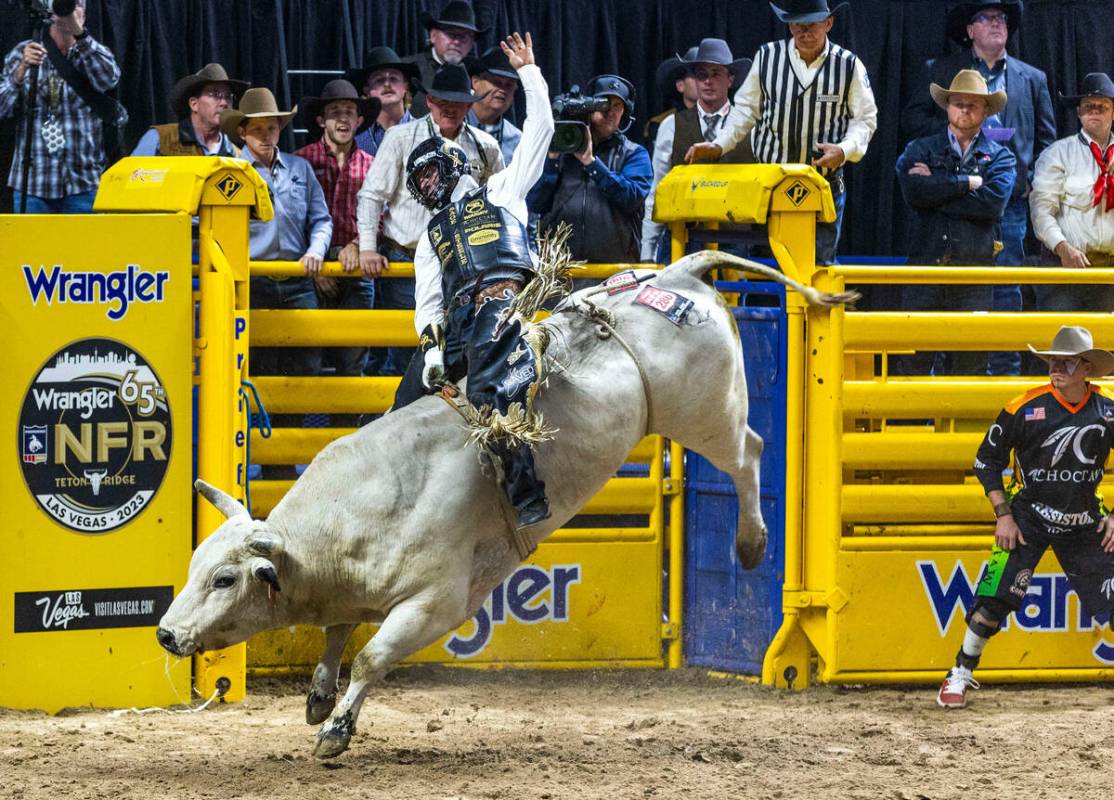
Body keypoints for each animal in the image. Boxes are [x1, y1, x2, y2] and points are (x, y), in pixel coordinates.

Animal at [157, 254, 846, 762]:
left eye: (224, 579)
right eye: (193, 566)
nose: (165, 633)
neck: (362, 513)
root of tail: (677, 273)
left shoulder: (438, 603)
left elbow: (371, 655)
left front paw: (335, 733)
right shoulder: (350, 591)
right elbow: (336, 633)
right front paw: (319, 699)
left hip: (705, 412)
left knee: (750, 452)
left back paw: (752, 545)